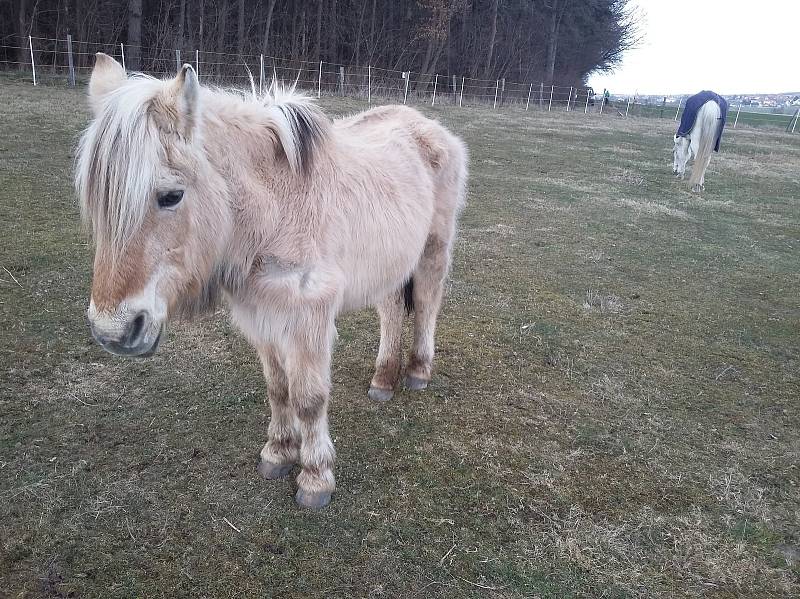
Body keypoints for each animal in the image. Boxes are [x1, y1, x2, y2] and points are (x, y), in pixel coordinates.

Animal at [76, 54, 468, 508]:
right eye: (97, 205)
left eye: (171, 196)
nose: (113, 333)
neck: (275, 210)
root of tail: (431, 128)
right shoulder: (262, 315)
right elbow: (279, 389)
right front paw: (278, 453)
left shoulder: (309, 319)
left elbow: (309, 399)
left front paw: (315, 478)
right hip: (390, 263)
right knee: (390, 312)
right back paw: (383, 379)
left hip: (432, 252)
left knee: (426, 305)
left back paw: (418, 372)